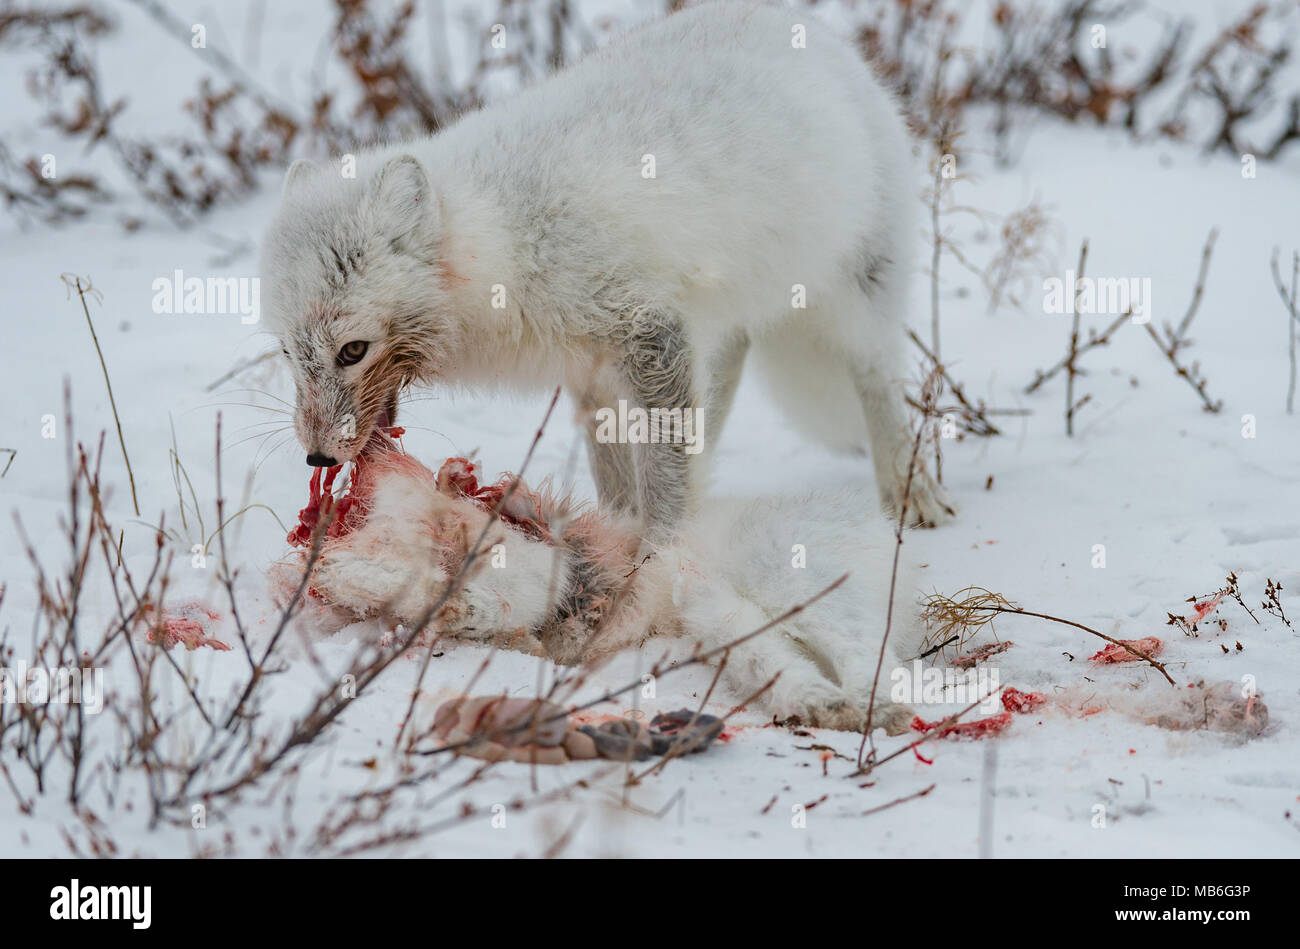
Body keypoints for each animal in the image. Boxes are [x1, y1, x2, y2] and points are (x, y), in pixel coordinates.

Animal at [260, 0, 955, 543]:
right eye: (290, 355)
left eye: (353, 350)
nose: (316, 456)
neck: (508, 239)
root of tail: (826, 40)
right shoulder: (592, 372)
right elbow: (619, 473)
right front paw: (617, 531)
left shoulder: (649, 335)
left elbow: (663, 480)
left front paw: (658, 557)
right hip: (723, 320)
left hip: (859, 300)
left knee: (879, 385)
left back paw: (912, 495)